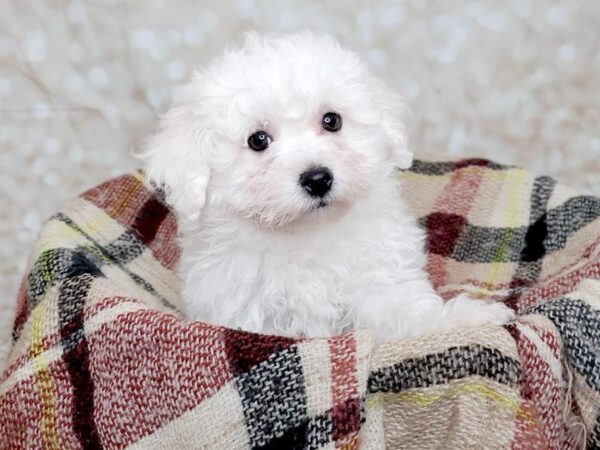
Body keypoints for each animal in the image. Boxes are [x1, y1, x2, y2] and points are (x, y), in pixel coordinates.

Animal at [137, 32, 516, 342]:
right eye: (258, 140)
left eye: (331, 120)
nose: (318, 179)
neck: (308, 236)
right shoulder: (242, 309)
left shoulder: (379, 283)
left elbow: (409, 314)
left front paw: (468, 319)